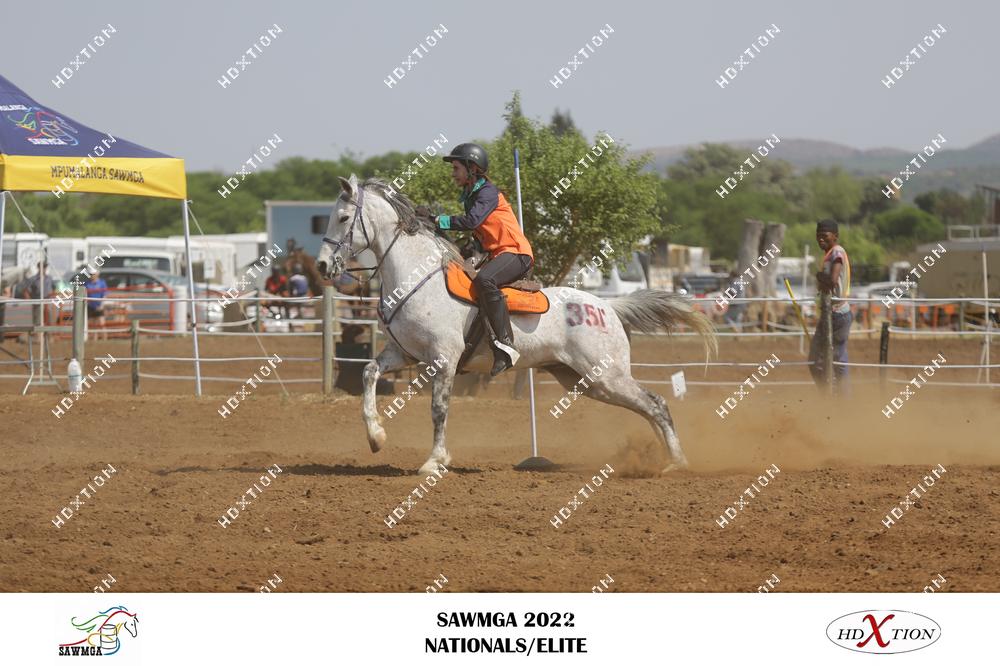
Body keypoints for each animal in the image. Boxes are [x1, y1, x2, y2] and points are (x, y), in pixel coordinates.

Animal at [316, 174, 717, 475]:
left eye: (342, 218)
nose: (322, 266)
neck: (418, 277)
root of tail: (607, 305)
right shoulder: (404, 354)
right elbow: (368, 373)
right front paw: (376, 437)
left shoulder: (444, 359)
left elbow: (438, 409)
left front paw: (434, 461)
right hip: (586, 381)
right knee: (647, 407)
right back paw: (665, 459)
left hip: (605, 375)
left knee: (656, 403)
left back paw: (677, 463)